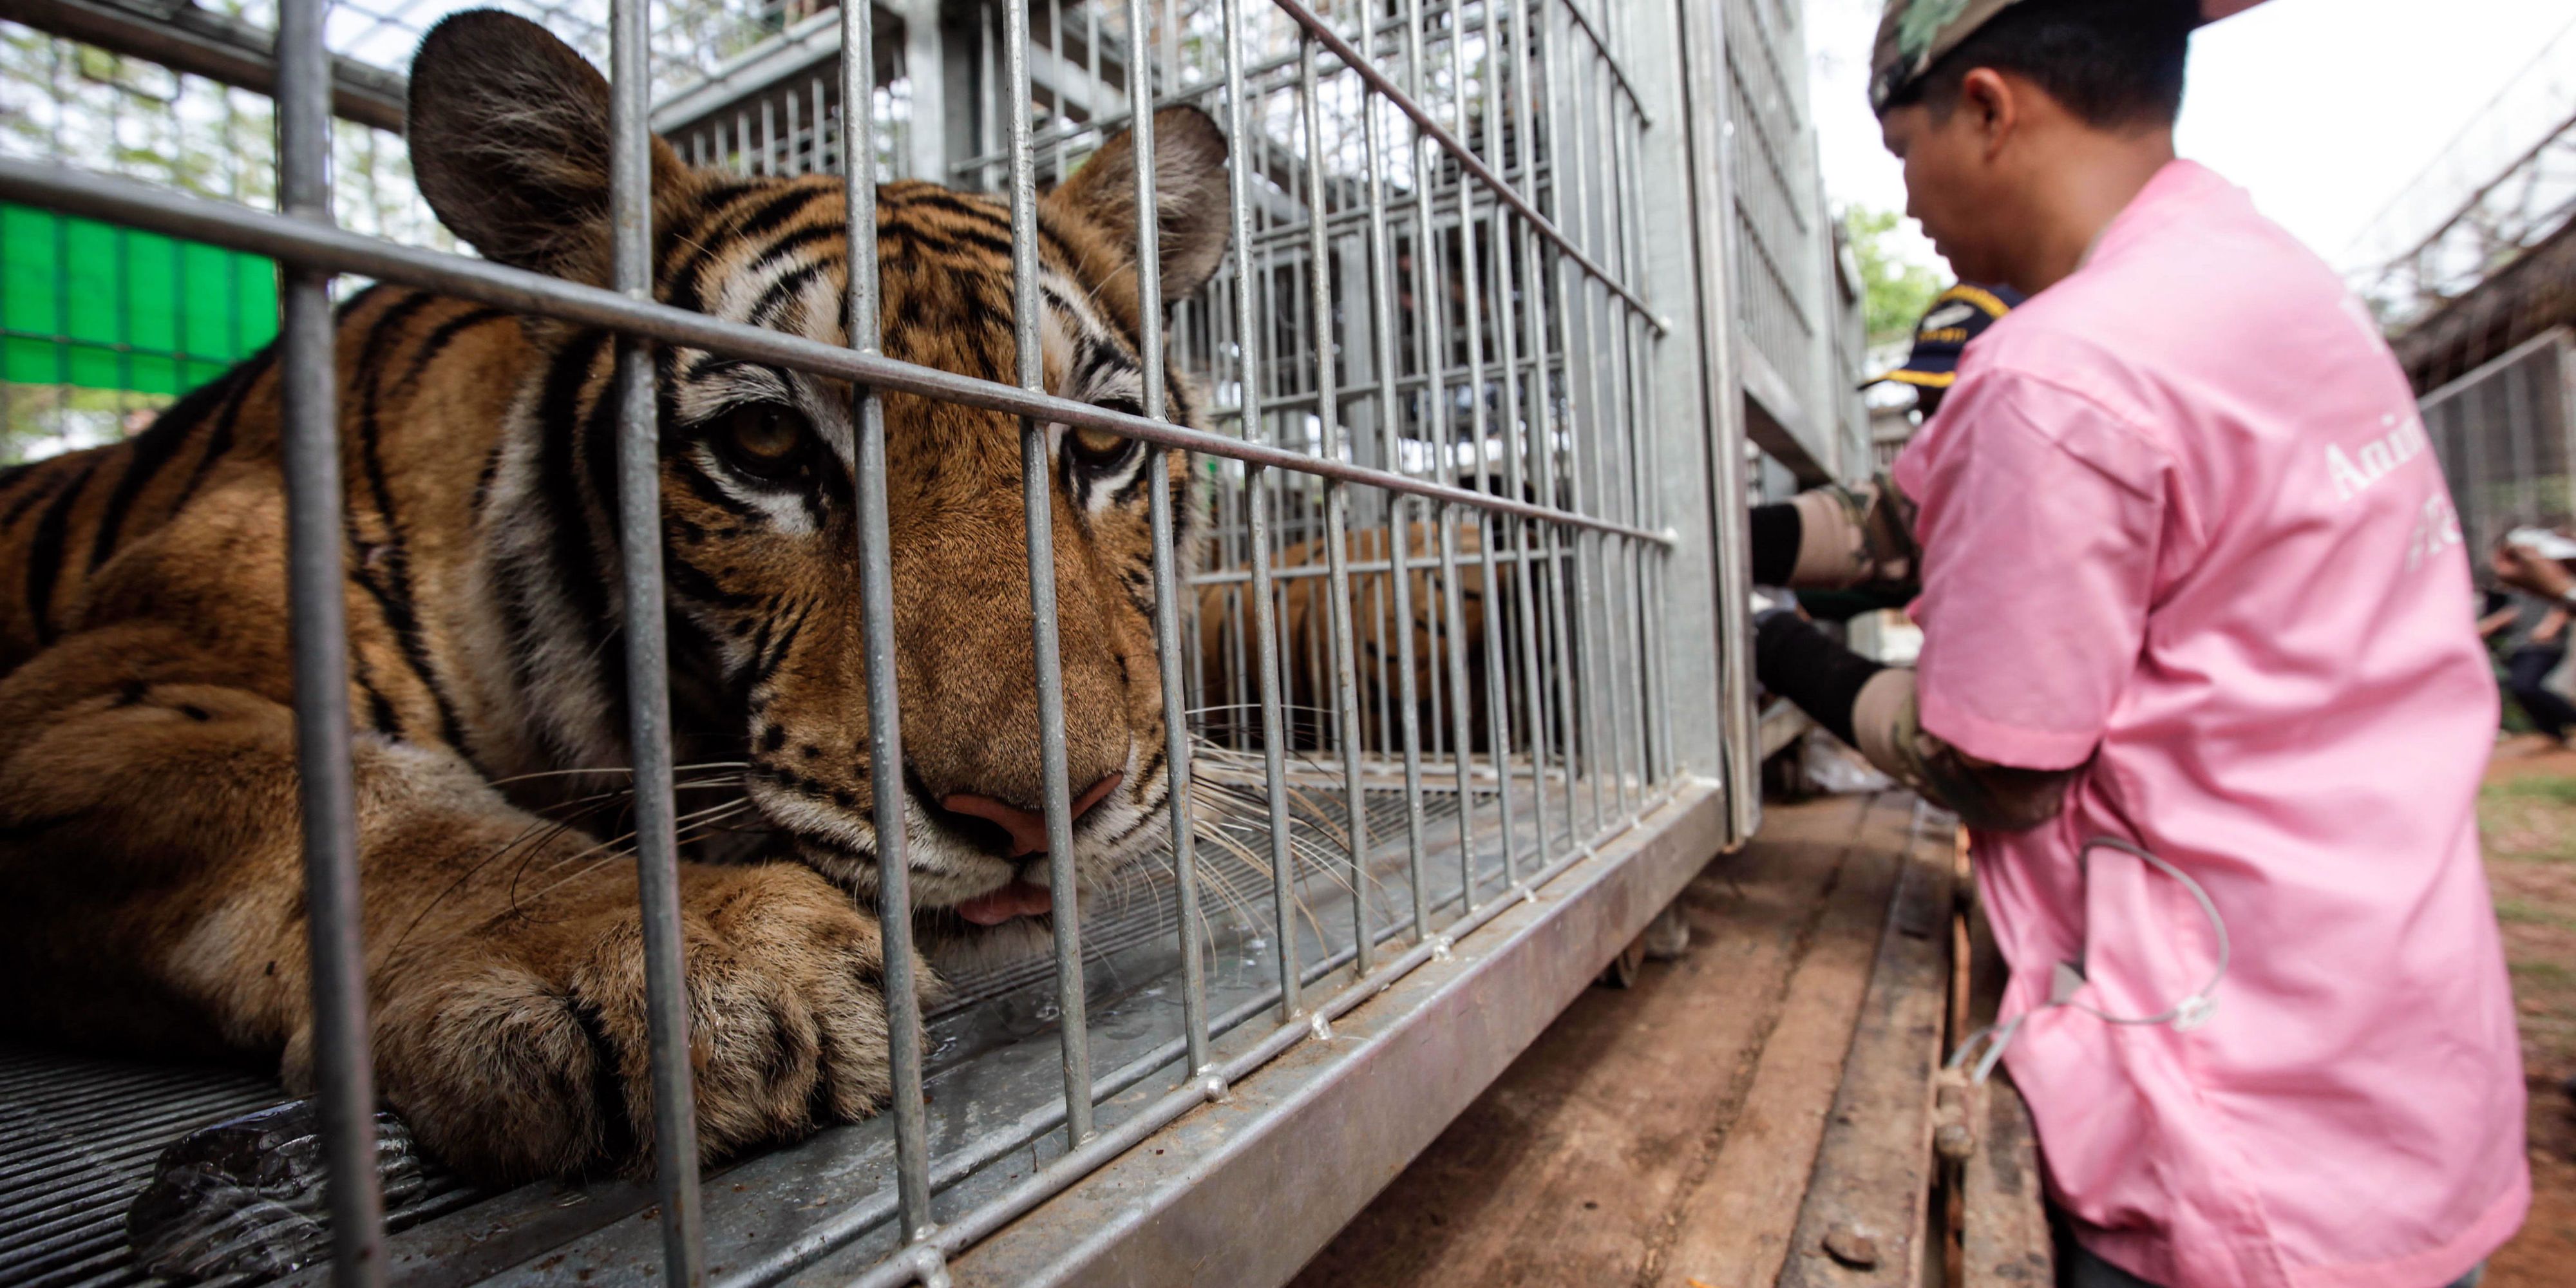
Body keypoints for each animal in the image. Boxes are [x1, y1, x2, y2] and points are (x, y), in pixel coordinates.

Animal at [0, 10, 1236, 1180]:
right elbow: (369, 807)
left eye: (1099, 446)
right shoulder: (101, 694)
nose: (1040, 815)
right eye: (767, 440)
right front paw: (685, 961)